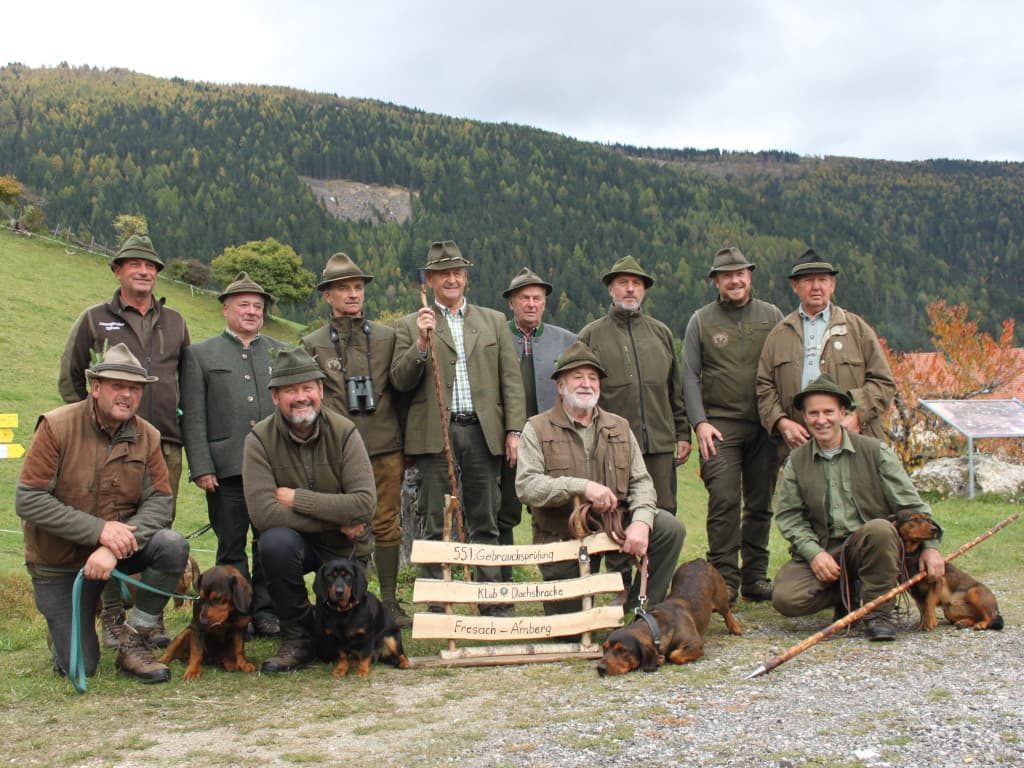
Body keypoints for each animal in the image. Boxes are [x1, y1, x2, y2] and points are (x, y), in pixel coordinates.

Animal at [593, 561, 745, 679]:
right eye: (604, 648)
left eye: (622, 650)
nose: (600, 668)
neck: (655, 626)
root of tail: (699, 560)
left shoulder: (695, 644)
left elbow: (674, 655)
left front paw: (661, 658)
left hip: (720, 598)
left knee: (726, 611)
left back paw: (735, 626)